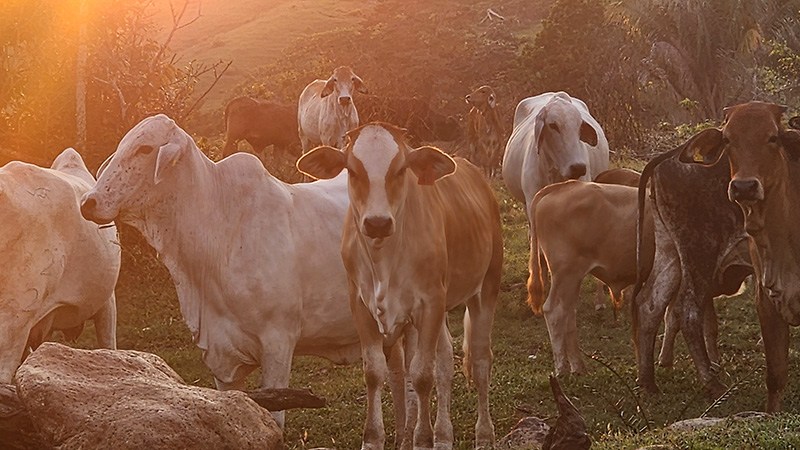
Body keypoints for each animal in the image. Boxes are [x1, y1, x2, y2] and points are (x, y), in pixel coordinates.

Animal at [300, 122, 500, 450]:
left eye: (401, 169)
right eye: (352, 170)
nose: (377, 223)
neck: (384, 258)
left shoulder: (429, 303)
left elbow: (421, 376)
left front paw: (421, 438)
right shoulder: (362, 304)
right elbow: (376, 372)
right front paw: (376, 437)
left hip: (486, 286)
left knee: (481, 361)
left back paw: (484, 434)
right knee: (445, 362)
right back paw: (443, 436)